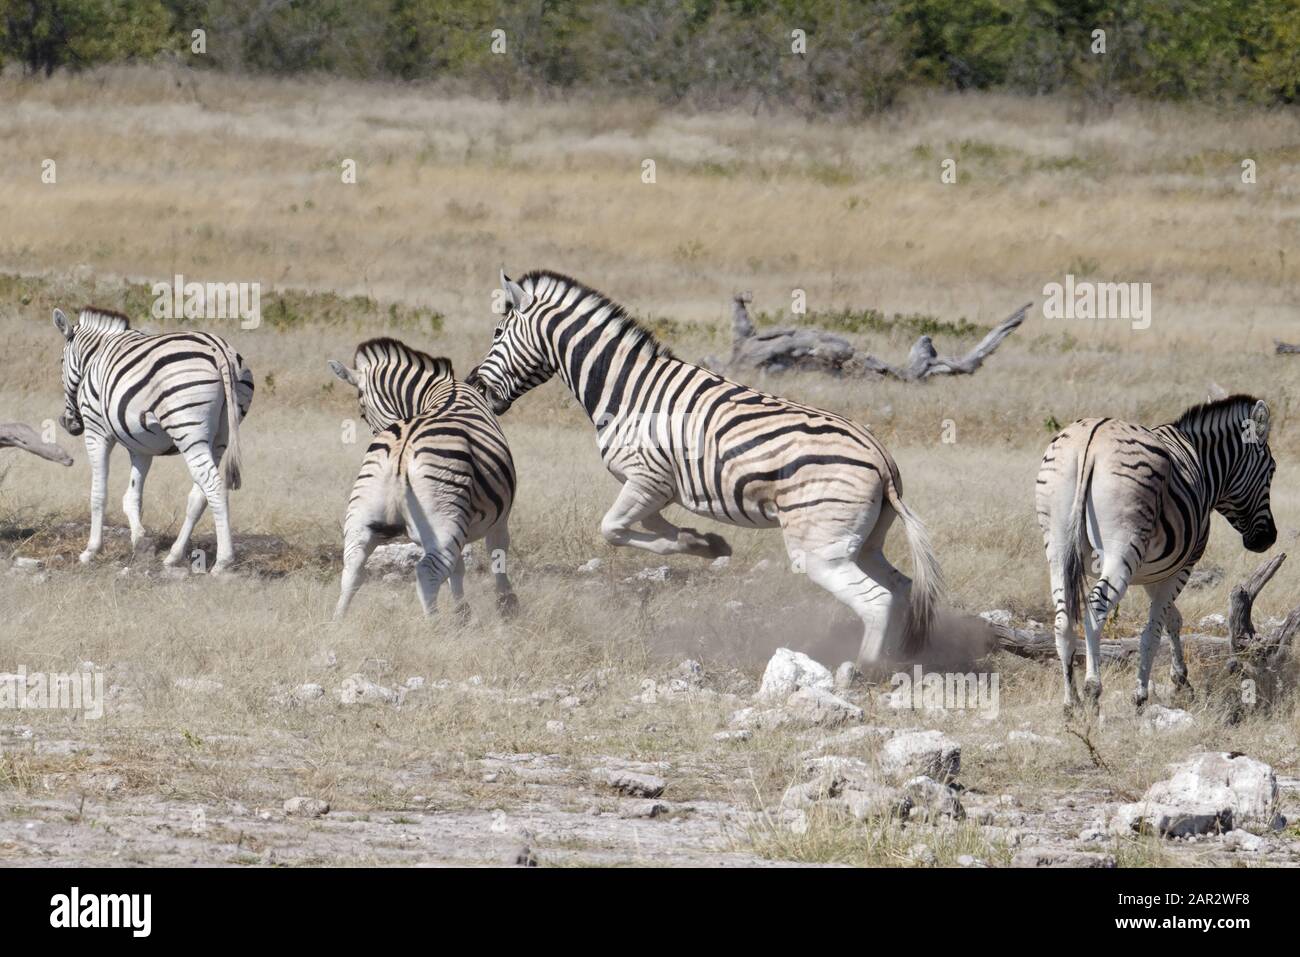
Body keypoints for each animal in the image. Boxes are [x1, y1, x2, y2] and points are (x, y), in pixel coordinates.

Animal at [53, 310, 252, 572]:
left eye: (61, 362)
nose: (67, 423)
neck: (96, 353)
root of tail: (220, 350)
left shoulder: (96, 430)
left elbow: (99, 492)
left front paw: (91, 550)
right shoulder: (141, 445)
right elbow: (132, 497)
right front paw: (140, 540)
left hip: (188, 429)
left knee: (214, 485)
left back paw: (223, 562)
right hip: (221, 435)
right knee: (198, 495)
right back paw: (174, 556)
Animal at [325, 335, 517, 621]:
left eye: (361, 412)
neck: (443, 389)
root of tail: (401, 450)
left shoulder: (462, 521)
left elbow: (459, 567)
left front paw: (463, 613)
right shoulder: (498, 518)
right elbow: (497, 554)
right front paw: (507, 605)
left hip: (363, 513)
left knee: (353, 569)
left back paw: (338, 622)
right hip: (443, 518)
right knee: (428, 574)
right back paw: (435, 625)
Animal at [467, 269, 946, 665]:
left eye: (497, 332)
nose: (474, 385)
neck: (626, 389)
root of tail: (880, 459)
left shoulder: (645, 479)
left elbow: (612, 529)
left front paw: (694, 543)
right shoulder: (659, 486)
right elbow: (650, 528)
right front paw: (704, 543)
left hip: (818, 549)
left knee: (876, 600)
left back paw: (859, 672)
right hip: (861, 542)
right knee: (903, 588)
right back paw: (900, 661)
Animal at [1034, 392, 1279, 712]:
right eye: (1272, 469)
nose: (1268, 539)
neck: (1202, 462)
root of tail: (1090, 440)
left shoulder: (1154, 571)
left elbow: (1172, 618)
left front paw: (1181, 679)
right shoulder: (1181, 566)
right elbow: (1153, 630)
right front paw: (1141, 694)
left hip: (1057, 545)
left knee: (1063, 618)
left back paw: (1070, 703)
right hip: (1122, 549)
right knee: (1095, 610)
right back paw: (1092, 691)